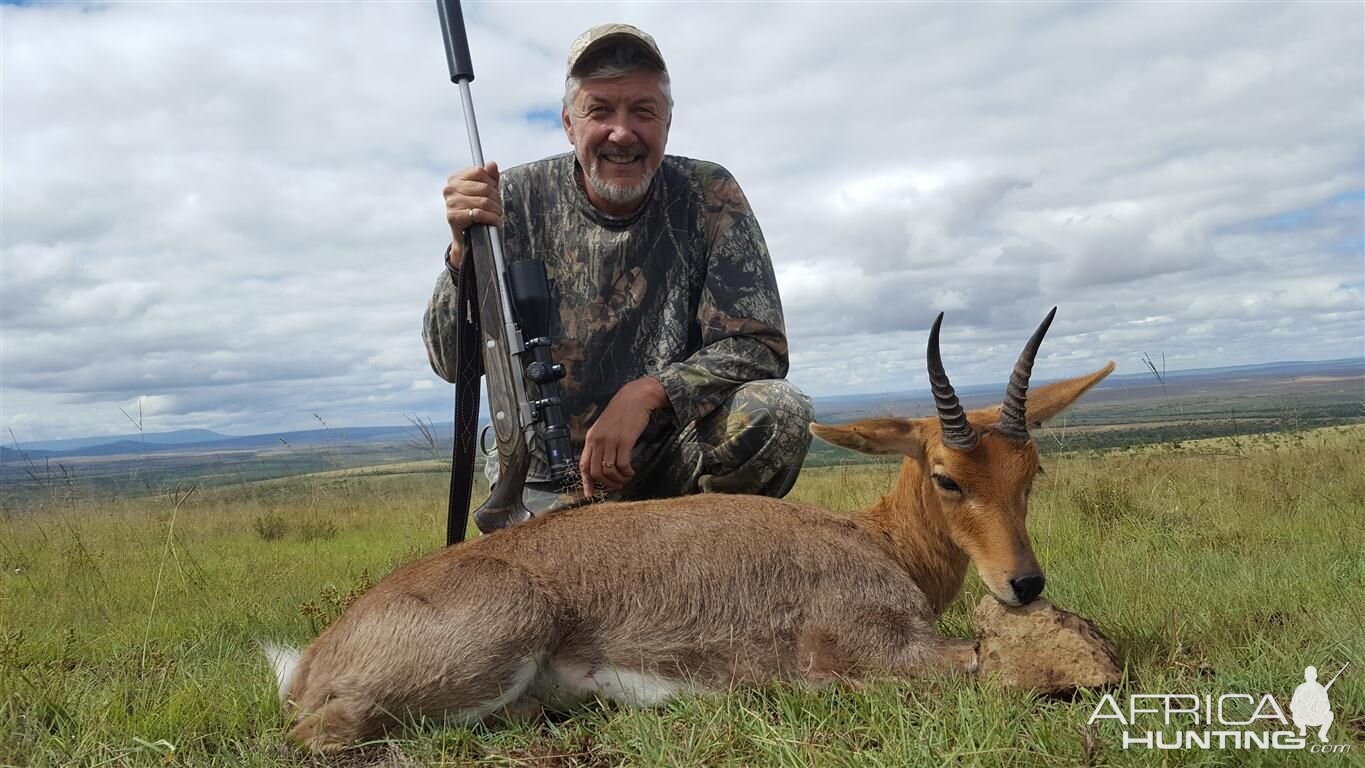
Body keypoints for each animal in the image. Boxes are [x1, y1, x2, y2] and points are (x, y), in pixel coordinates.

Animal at [263, 308, 1108, 752]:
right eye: (945, 475)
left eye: (1030, 471)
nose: (1023, 583)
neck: (872, 537)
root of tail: (313, 658)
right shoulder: (879, 648)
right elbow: (997, 664)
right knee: (322, 735)